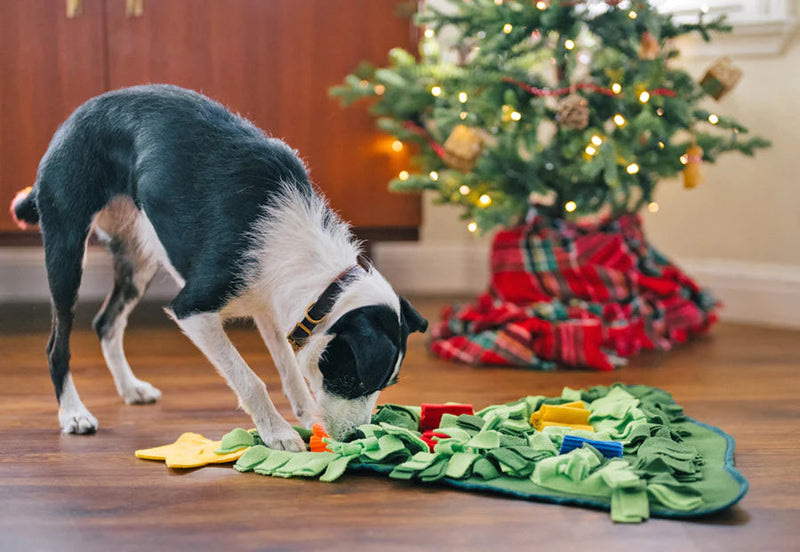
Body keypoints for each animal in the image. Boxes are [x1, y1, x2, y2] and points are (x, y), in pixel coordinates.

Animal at [9, 84, 428, 450]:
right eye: (352, 378)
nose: (358, 438)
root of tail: (72, 120)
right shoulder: (193, 310)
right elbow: (251, 379)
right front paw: (278, 432)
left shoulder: (272, 309)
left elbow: (289, 369)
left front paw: (307, 415)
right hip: (66, 249)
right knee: (57, 345)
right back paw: (73, 413)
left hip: (138, 258)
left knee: (106, 323)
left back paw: (130, 388)